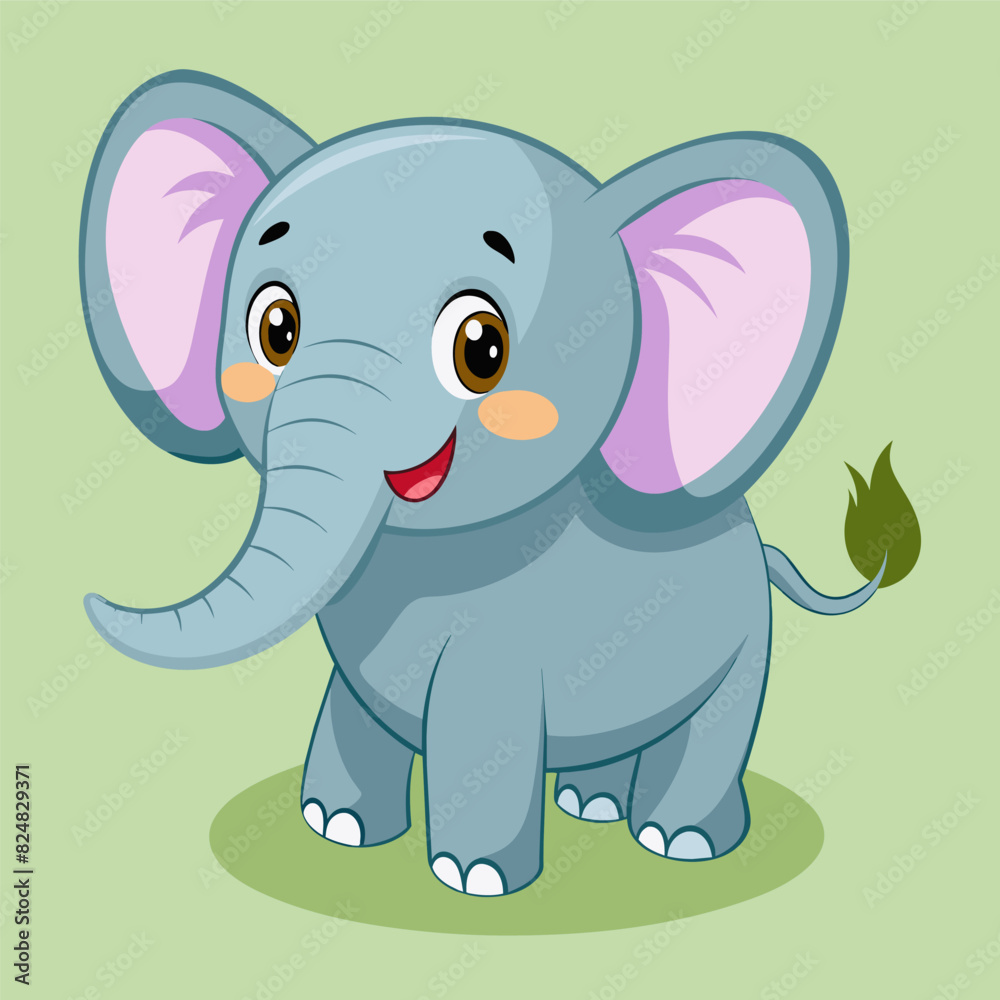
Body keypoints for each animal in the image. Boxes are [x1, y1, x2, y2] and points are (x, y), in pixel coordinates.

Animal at [81, 71, 884, 896]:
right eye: (275, 329)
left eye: (481, 348)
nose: (93, 598)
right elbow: (351, 704)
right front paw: (338, 828)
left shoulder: (505, 648)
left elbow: (481, 727)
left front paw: (477, 879)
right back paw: (590, 804)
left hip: (748, 639)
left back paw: (679, 840)